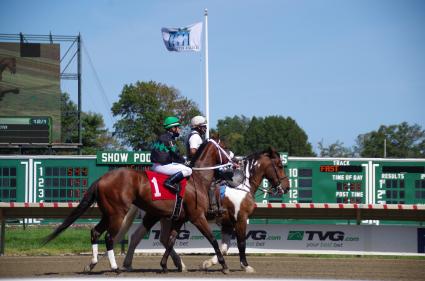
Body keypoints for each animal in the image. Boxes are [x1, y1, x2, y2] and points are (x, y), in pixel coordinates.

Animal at [43, 138, 234, 274]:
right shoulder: (197, 217)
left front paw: (164, 265)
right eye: (223, 146)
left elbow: (171, 240)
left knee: (96, 232)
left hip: (110, 213)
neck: (197, 180)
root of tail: (102, 178)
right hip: (118, 214)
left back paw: (92, 263)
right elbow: (212, 239)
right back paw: (115, 267)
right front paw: (223, 265)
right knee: (109, 237)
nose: (234, 161)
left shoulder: (180, 218)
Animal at [121, 147, 290, 272]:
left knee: (149, 237)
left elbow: (224, 247)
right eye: (280, 166)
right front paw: (245, 265)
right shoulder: (240, 218)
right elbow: (240, 242)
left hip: (164, 217)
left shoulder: (227, 223)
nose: (287, 187)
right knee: (145, 237)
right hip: (157, 215)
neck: (241, 185)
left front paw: (209, 263)